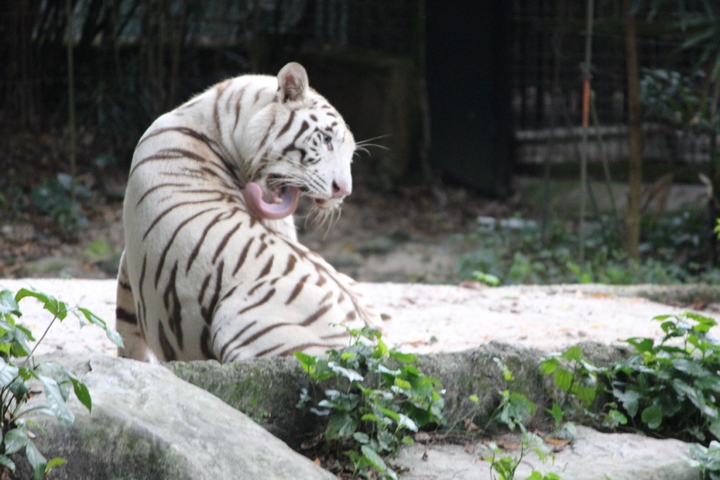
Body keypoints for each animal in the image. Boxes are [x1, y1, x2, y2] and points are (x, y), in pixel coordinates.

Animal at [115, 62, 382, 363]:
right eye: (326, 139)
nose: (343, 191)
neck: (216, 125)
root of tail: (372, 346)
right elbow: (126, 329)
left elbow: (126, 331)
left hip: (235, 316)